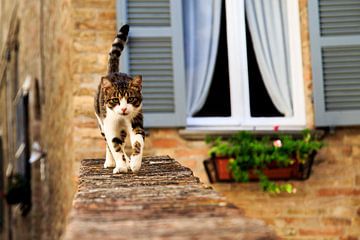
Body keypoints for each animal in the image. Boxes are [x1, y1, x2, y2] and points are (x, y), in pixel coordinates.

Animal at [94, 24, 145, 173]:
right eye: (115, 100)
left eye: (131, 99)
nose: (123, 109)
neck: (122, 118)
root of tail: (113, 72)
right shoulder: (109, 124)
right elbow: (115, 147)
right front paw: (121, 167)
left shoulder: (136, 120)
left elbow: (138, 141)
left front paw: (135, 163)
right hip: (101, 122)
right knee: (108, 144)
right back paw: (111, 162)